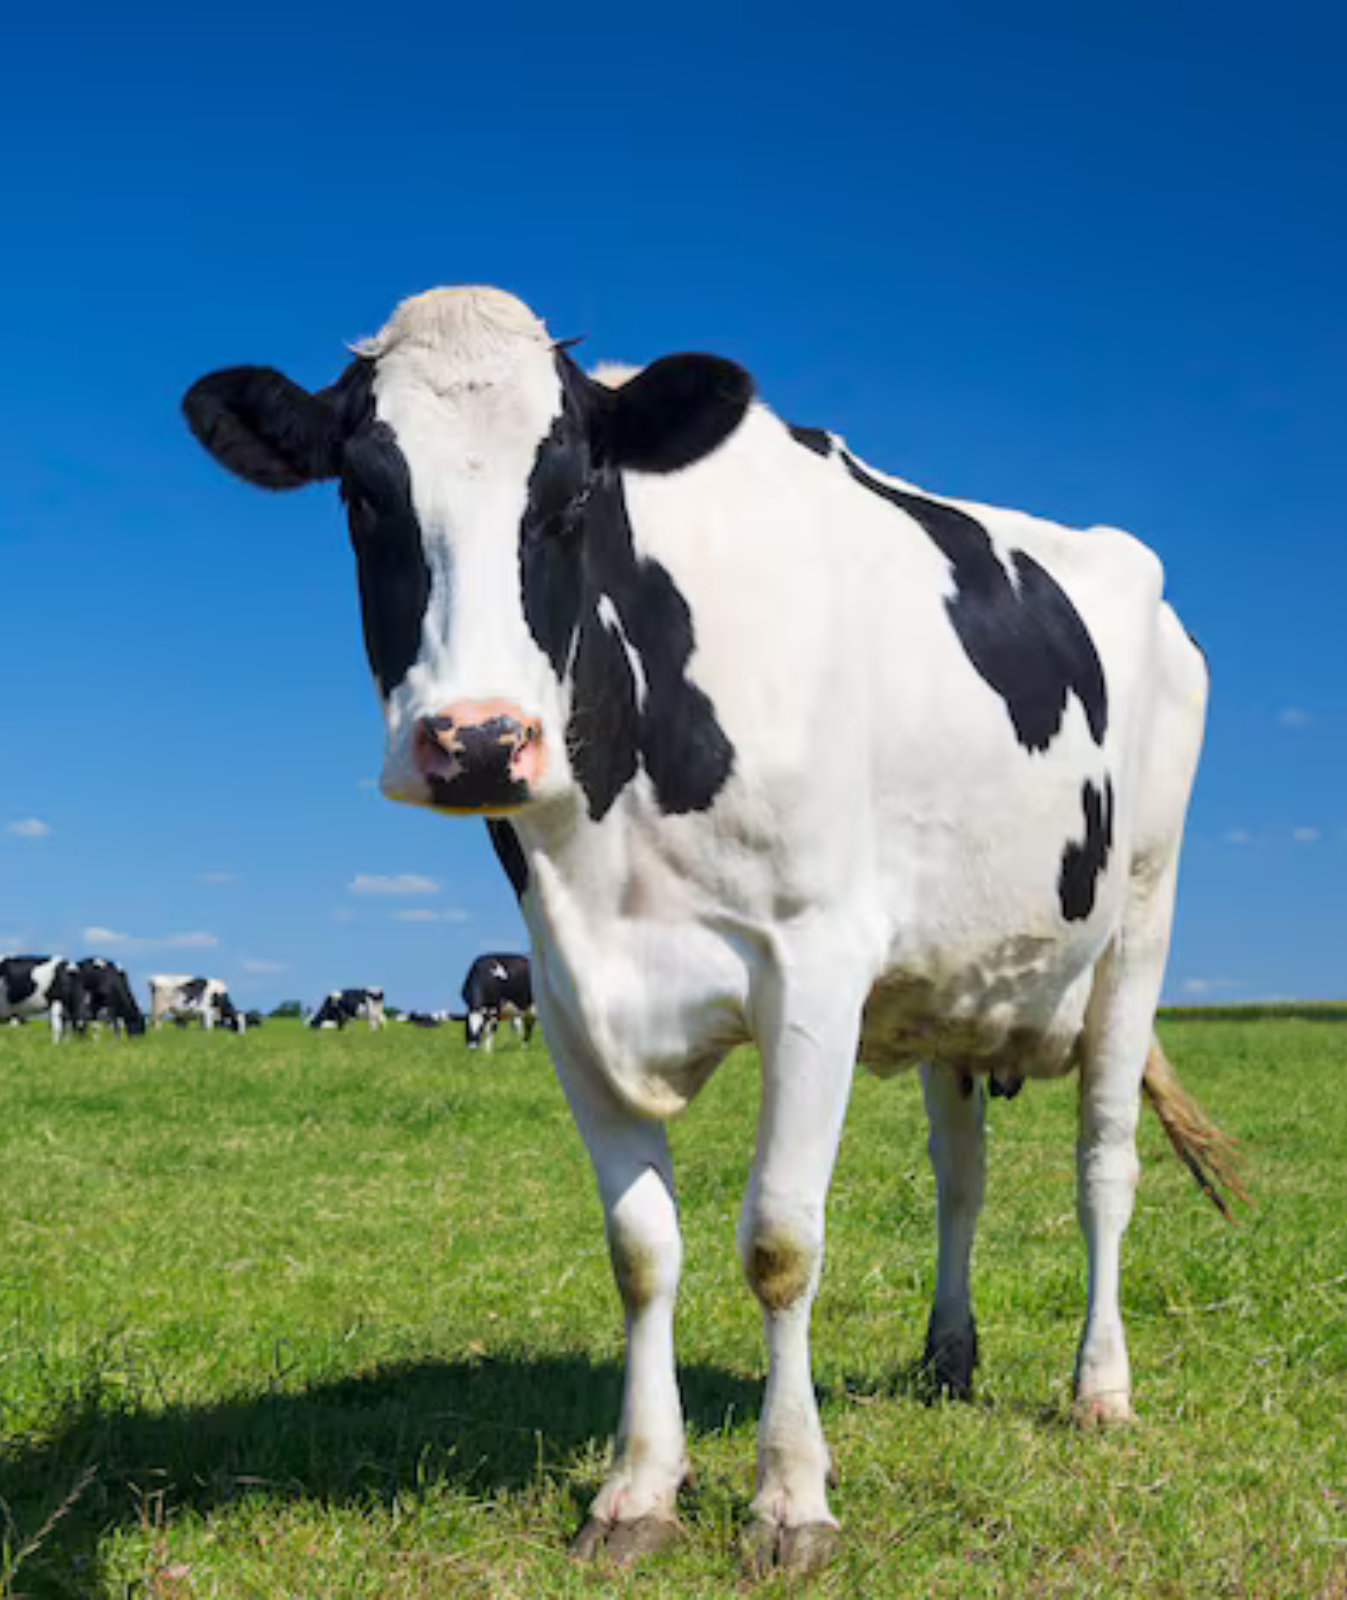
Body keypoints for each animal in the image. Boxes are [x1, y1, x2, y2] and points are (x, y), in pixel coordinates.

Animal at [184, 286, 1240, 1573]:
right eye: (363, 495)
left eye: (573, 498)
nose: (478, 740)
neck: (609, 842)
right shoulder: (566, 991)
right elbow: (642, 1250)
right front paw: (639, 1486)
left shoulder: (815, 968)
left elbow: (780, 1241)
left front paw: (791, 1496)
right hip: (957, 982)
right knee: (962, 1175)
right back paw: (947, 1355)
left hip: (1138, 923)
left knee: (1104, 1167)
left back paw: (1100, 1388)